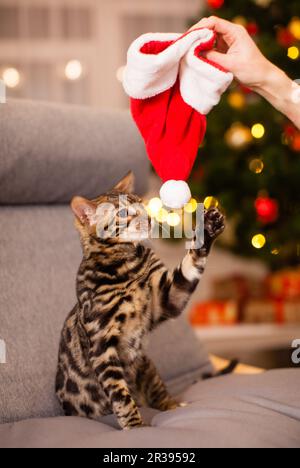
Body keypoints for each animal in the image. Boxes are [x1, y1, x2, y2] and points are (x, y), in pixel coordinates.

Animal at [55, 171, 225, 428]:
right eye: (124, 213)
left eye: (142, 205)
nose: (151, 220)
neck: (126, 265)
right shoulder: (102, 345)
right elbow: (120, 394)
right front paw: (135, 426)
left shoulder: (166, 298)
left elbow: (189, 266)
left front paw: (208, 229)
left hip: (147, 365)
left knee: (161, 394)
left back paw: (176, 406)